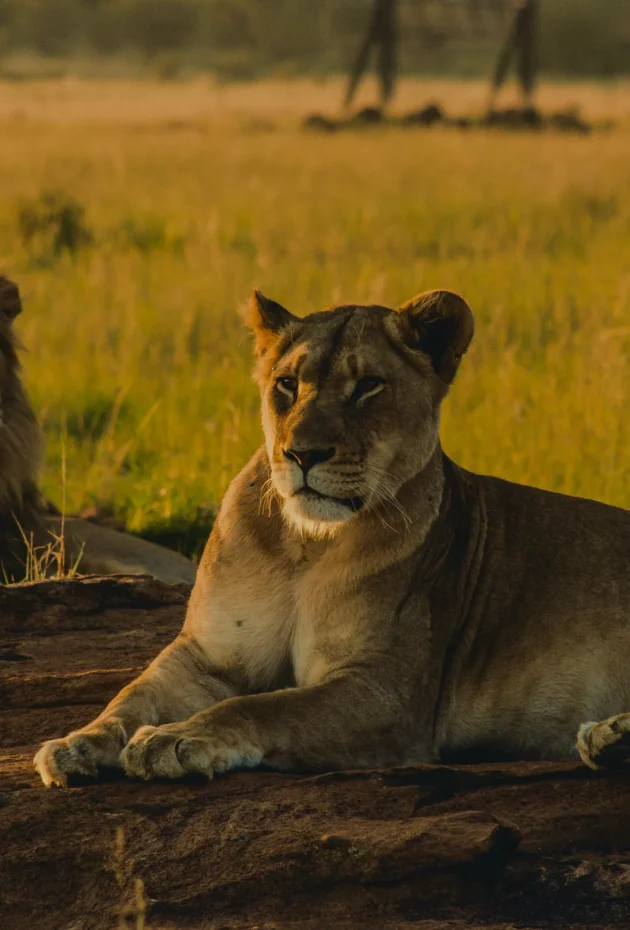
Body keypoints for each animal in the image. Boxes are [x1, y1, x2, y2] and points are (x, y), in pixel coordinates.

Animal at [35, 287, 630, 788]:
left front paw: (176, 738)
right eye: (287, 384)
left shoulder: (386, 692)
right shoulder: (207, 653)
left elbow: (265, 706)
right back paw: (607, 740)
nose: (302, 454)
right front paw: (77, 744)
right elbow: (133, 694)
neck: (305, 546)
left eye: (367, 386)